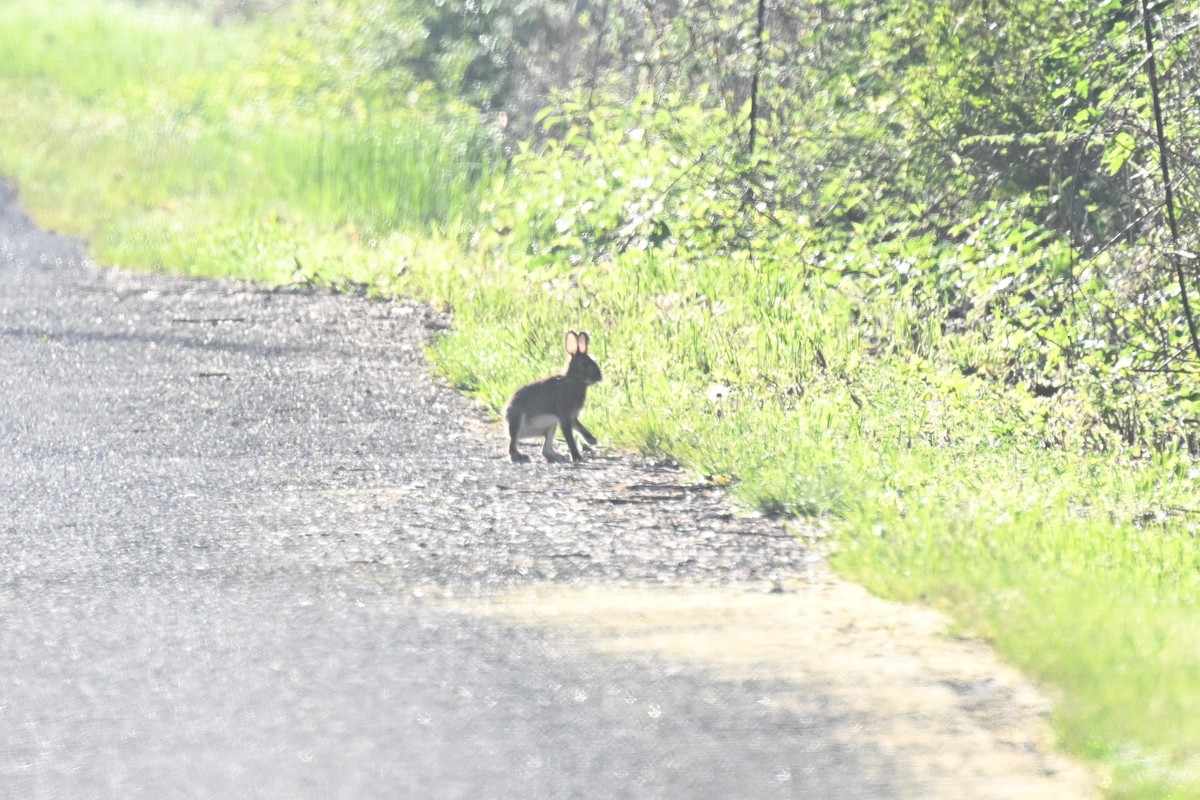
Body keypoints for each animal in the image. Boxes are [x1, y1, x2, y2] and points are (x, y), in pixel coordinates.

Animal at [505, 331, 602, 463]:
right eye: (585, 364)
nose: (600, 377)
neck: (574, 380)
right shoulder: (564, 415)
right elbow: (569, 438)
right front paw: (577, 457)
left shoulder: (571, 416)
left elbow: (580, 427)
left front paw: (592, 441)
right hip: (518, 421)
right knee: (513, 443)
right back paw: (520, 456)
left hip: (551, 425)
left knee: (545, 450)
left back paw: (560, 457)